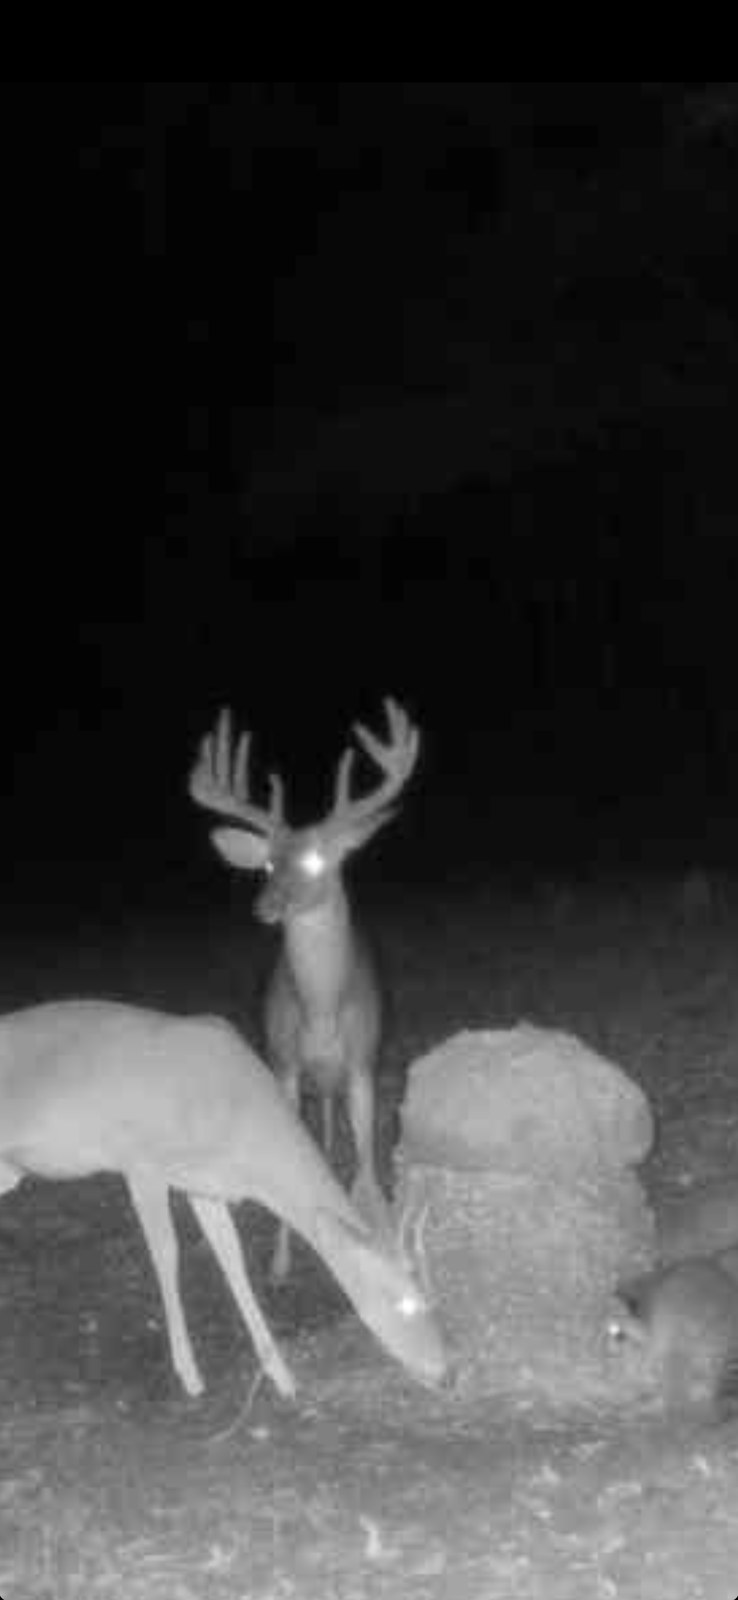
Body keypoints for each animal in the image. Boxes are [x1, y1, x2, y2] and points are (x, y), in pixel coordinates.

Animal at [0, 1000, 446, 1399]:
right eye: (404, 1301)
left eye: (429, 1292)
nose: (449, 1371)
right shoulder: (142, 1162)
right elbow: (167, 1255)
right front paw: (190, 1375)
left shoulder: (205, 1183)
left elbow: (232, 1259)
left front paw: (282, 1376)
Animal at [189, 698, 420, 1280]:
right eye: (269, 862)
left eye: (317, 859)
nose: (265, 906)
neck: (321, 1012)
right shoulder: (284, 1062)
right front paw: (279, 1261)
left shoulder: (363, 1063)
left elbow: (368, 1163)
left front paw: (382, 1240)